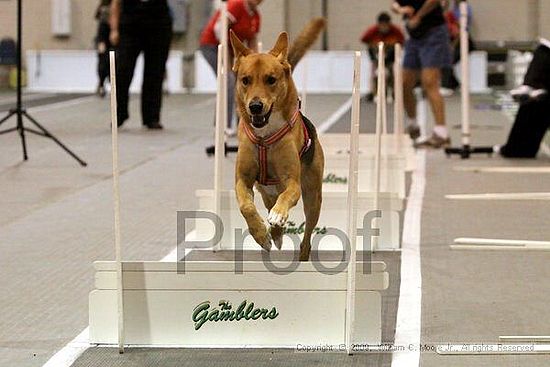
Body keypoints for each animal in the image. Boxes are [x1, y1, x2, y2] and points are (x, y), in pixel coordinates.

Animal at [231, 20, 326, 262]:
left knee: (307, 233)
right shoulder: (243, 180)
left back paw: (301, 250)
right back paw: (275, 233)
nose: (255, 106)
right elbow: (246, 207)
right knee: (269, 205)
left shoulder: (292, 182)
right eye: (245, 80)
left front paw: (278, 215)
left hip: (313, 196)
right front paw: (261, 235)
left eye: (271, 80)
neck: (264, 136)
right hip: (266, 192)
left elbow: (287, 196)